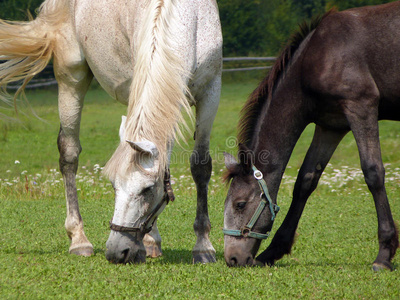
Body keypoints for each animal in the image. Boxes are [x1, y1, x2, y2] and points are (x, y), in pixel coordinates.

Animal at [0, 0, 222, 264]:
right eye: (114, 187)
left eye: (148, 189)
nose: (117, 252)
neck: (188, 18)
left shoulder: (210, 93)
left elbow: (200, 166)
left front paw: (203, 246)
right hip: (71, 78)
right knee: (69, 154)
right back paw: (79, 239)